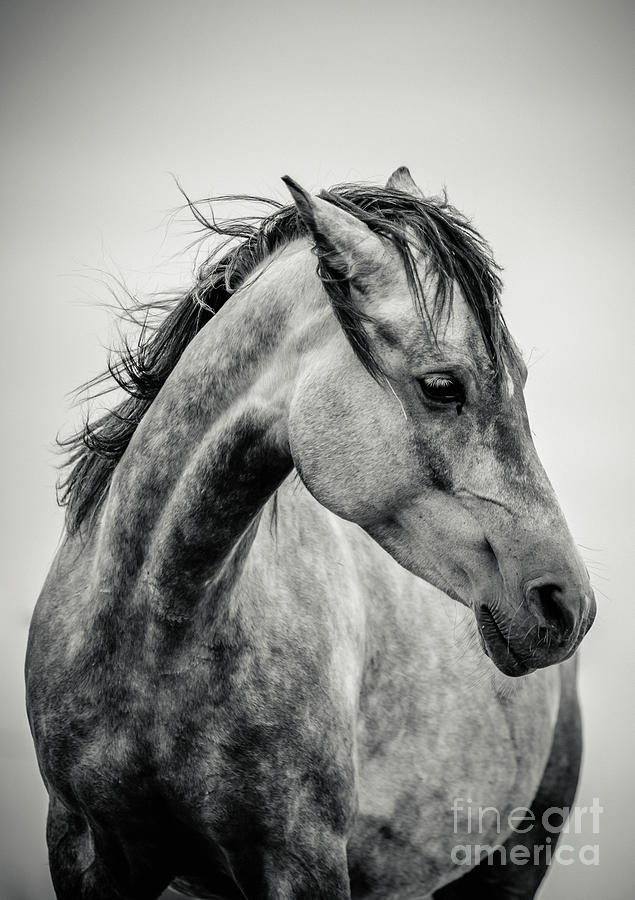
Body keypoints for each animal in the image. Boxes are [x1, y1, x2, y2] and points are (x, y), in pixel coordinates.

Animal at [26, 171, 596, 900]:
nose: (568, 605)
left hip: (514, 861)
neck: (152, 633)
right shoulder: (83, 846)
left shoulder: (301, 859)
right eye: (443, 385)